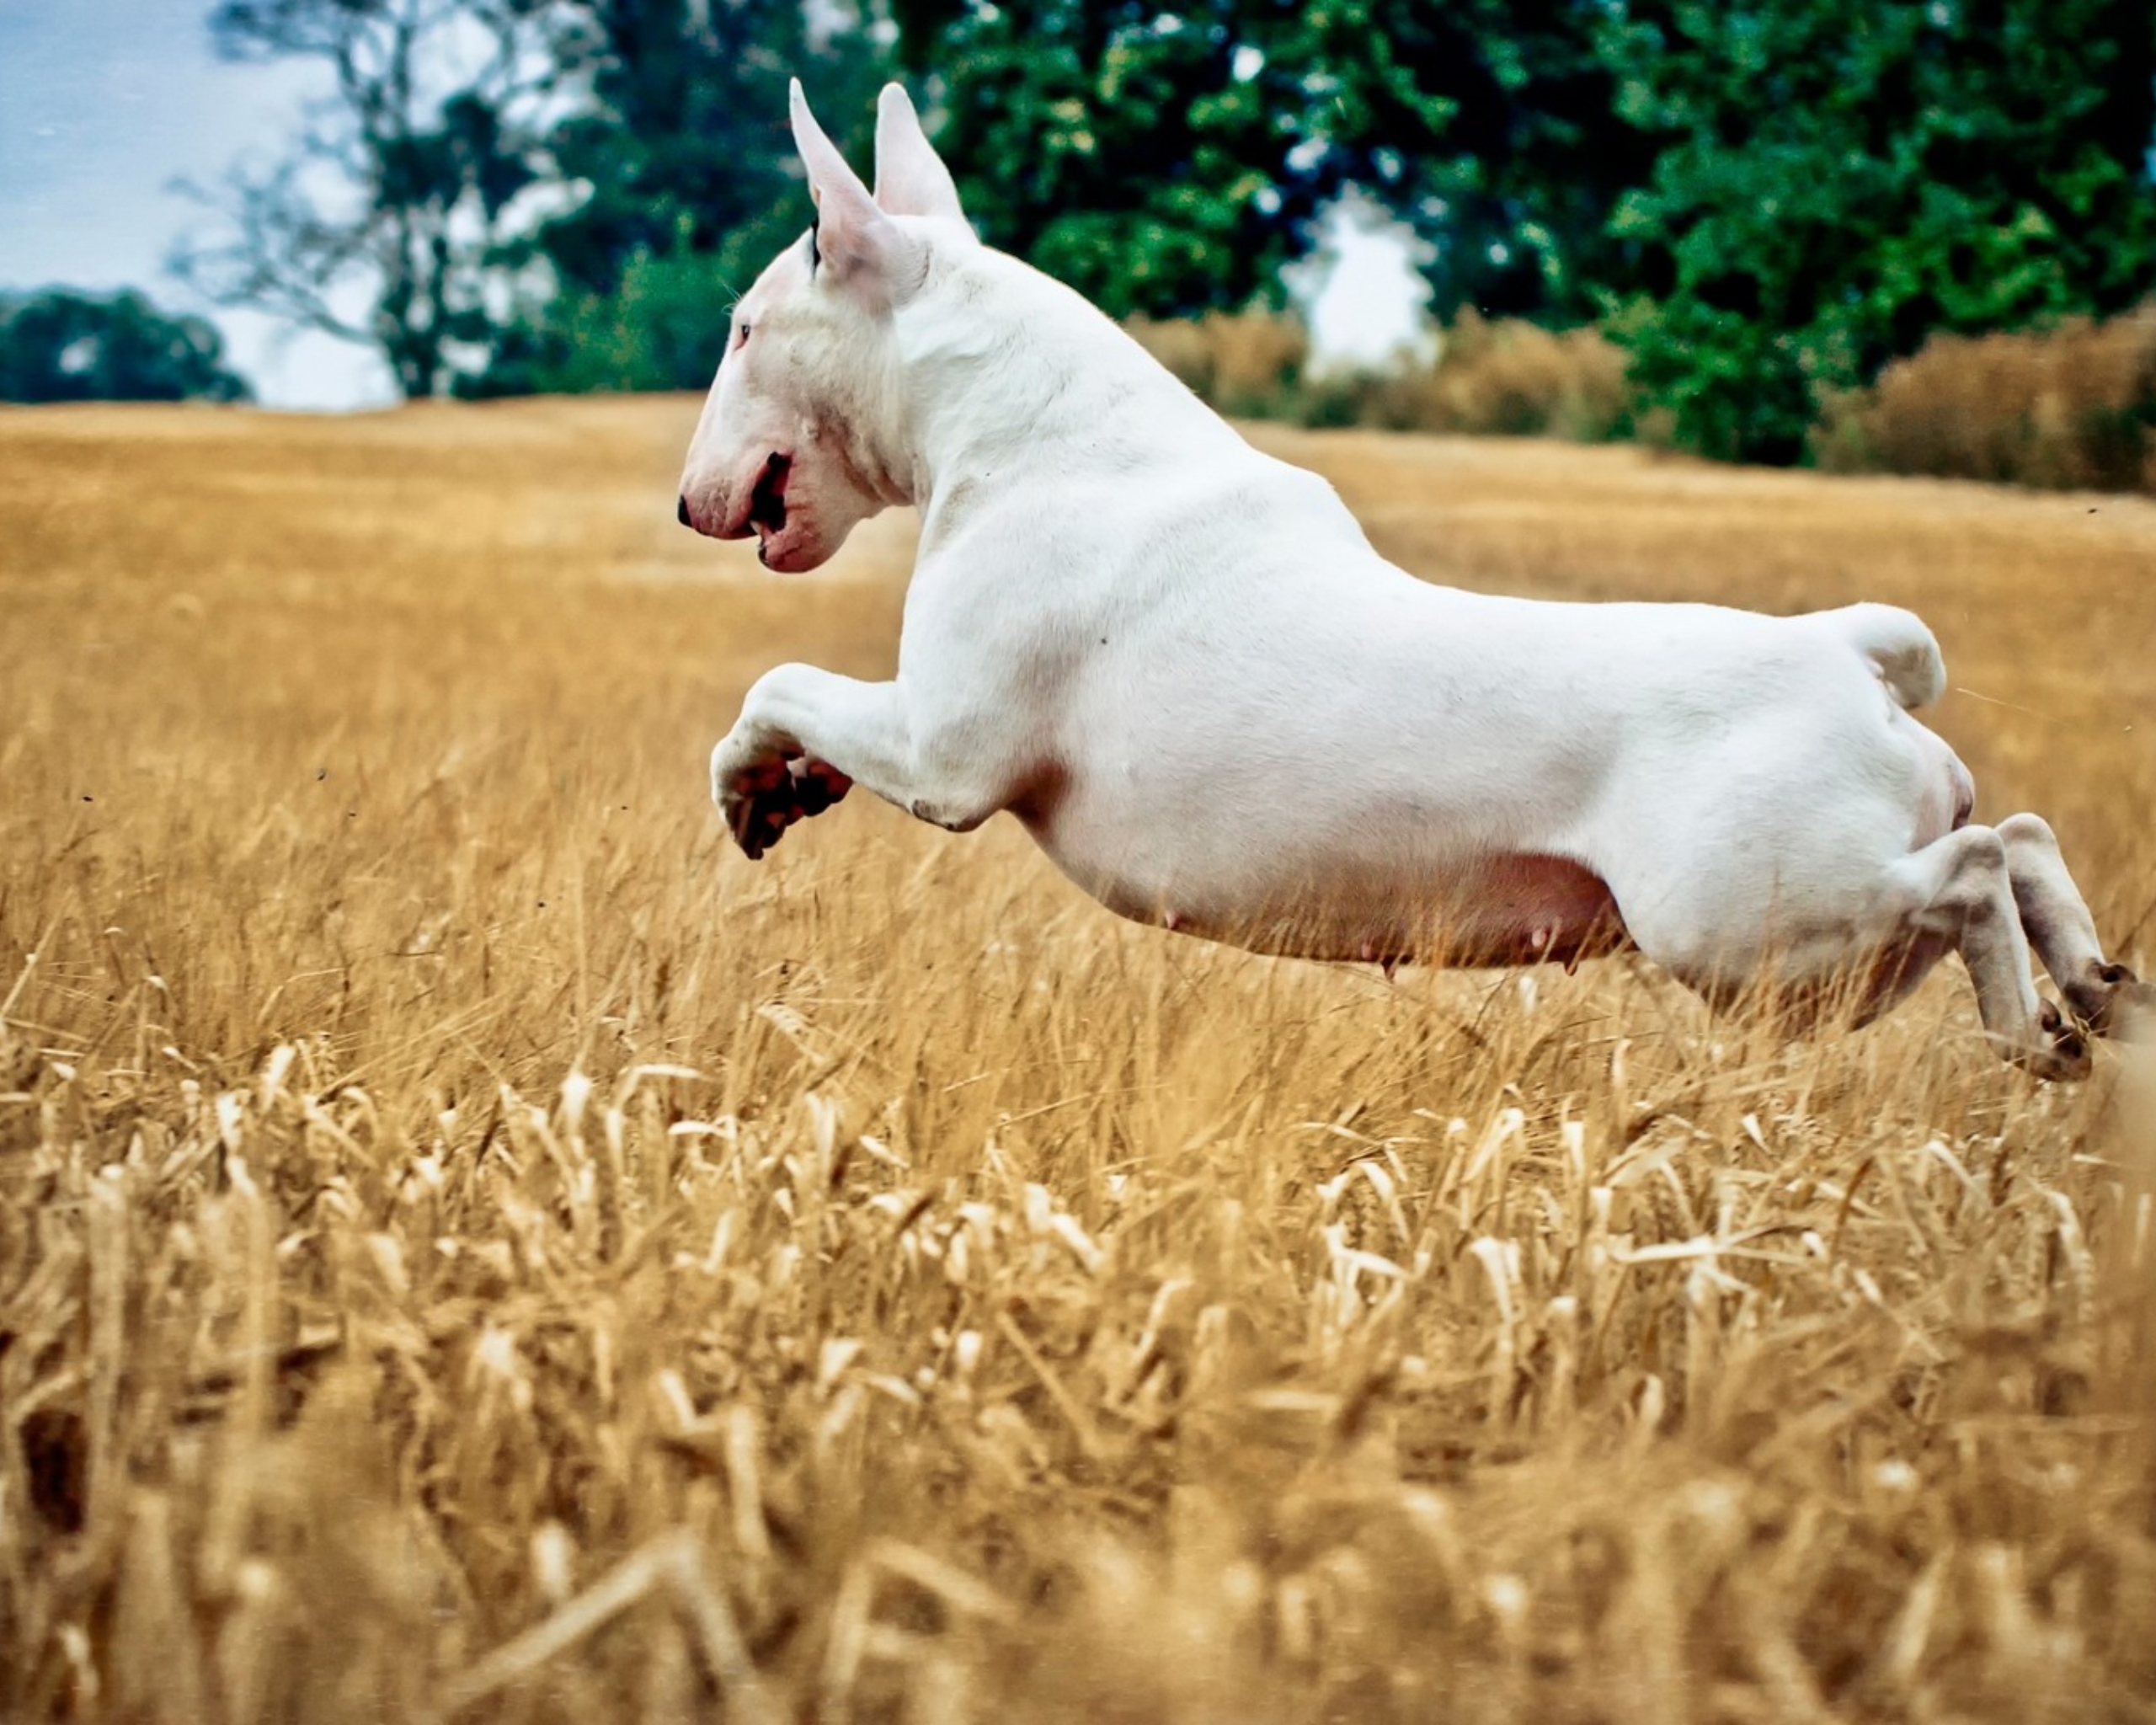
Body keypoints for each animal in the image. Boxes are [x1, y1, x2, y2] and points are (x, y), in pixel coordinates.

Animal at [676, 83, 2156, 1078]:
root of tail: (1849, 656)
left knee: (1971, 867)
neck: (1032, 430)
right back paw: (2095, 988)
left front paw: (752, 791)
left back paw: (2041, 1030)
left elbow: (780, 680)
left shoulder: (946, 751)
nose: (688, 506)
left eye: (744, 329)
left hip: (1751, 926)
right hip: (1810, 957)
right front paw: (792, 792)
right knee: (2020, 838)